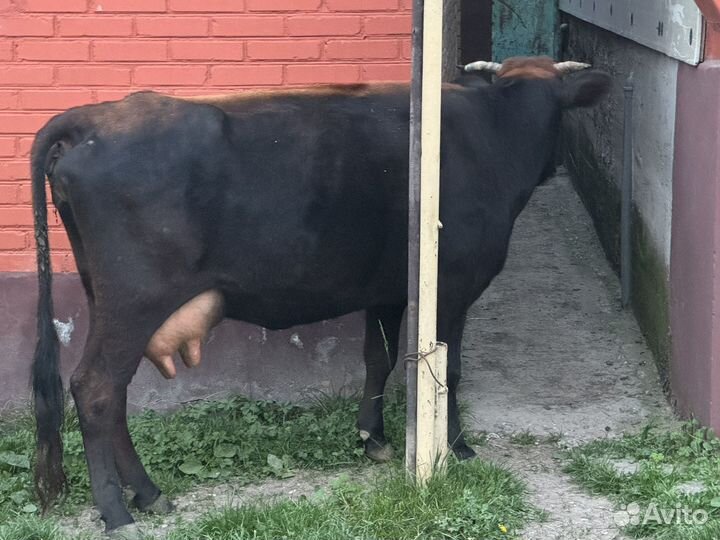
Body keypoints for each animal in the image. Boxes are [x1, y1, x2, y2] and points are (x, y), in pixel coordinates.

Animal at [29, 56, 610, 536]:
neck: (495, 132)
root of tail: (97, 118)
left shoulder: (388, 289)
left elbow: (379, 358)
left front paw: (373, 437)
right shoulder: (452, 284)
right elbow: (447, 368)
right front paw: (457, 446)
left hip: (107, 296)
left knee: (115, 392)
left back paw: (149, 494)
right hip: (134, 300)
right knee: (96, 389)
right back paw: (117, 510)